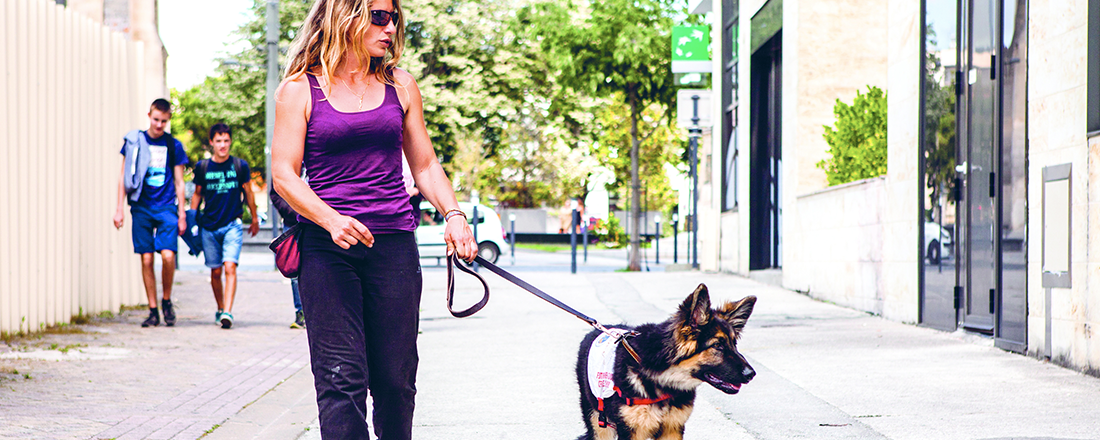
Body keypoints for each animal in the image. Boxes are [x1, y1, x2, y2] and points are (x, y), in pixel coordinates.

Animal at [576, 283, 756, 437]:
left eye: (734, 344)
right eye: (718, 345)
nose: (751, 374)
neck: (665, 375)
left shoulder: (673, 428)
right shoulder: (633, 431)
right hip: (600, 424)